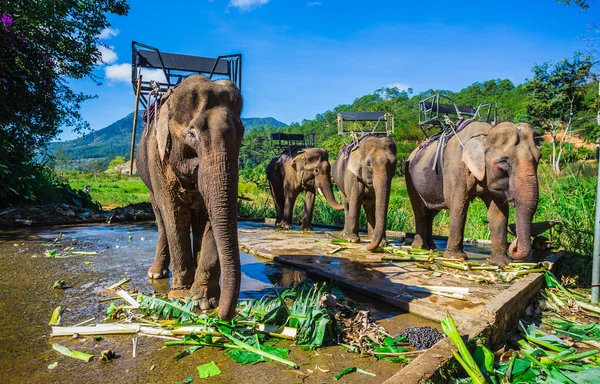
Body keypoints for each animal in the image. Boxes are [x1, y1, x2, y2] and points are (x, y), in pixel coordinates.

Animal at [137, 75, 245, 320]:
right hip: (147, 179)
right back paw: (156, 274)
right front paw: (180, 296)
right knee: (161, 219)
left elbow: (209, 218)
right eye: (192, 134)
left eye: (242, 132)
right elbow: (174, 215)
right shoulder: (158, 159)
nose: (222, 315)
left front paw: (204, 301)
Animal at [406, 121, 540, 266]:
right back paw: (420, 248)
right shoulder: (455, 166)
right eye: (504, 161)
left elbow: (498, 211)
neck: (485, 134)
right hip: (410, 178)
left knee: (431, 212)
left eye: (539, 158)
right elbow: (458, 205)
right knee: (420, 211)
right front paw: (455, 258)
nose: (515, 243)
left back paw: (431, 247)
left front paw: (502, 263)